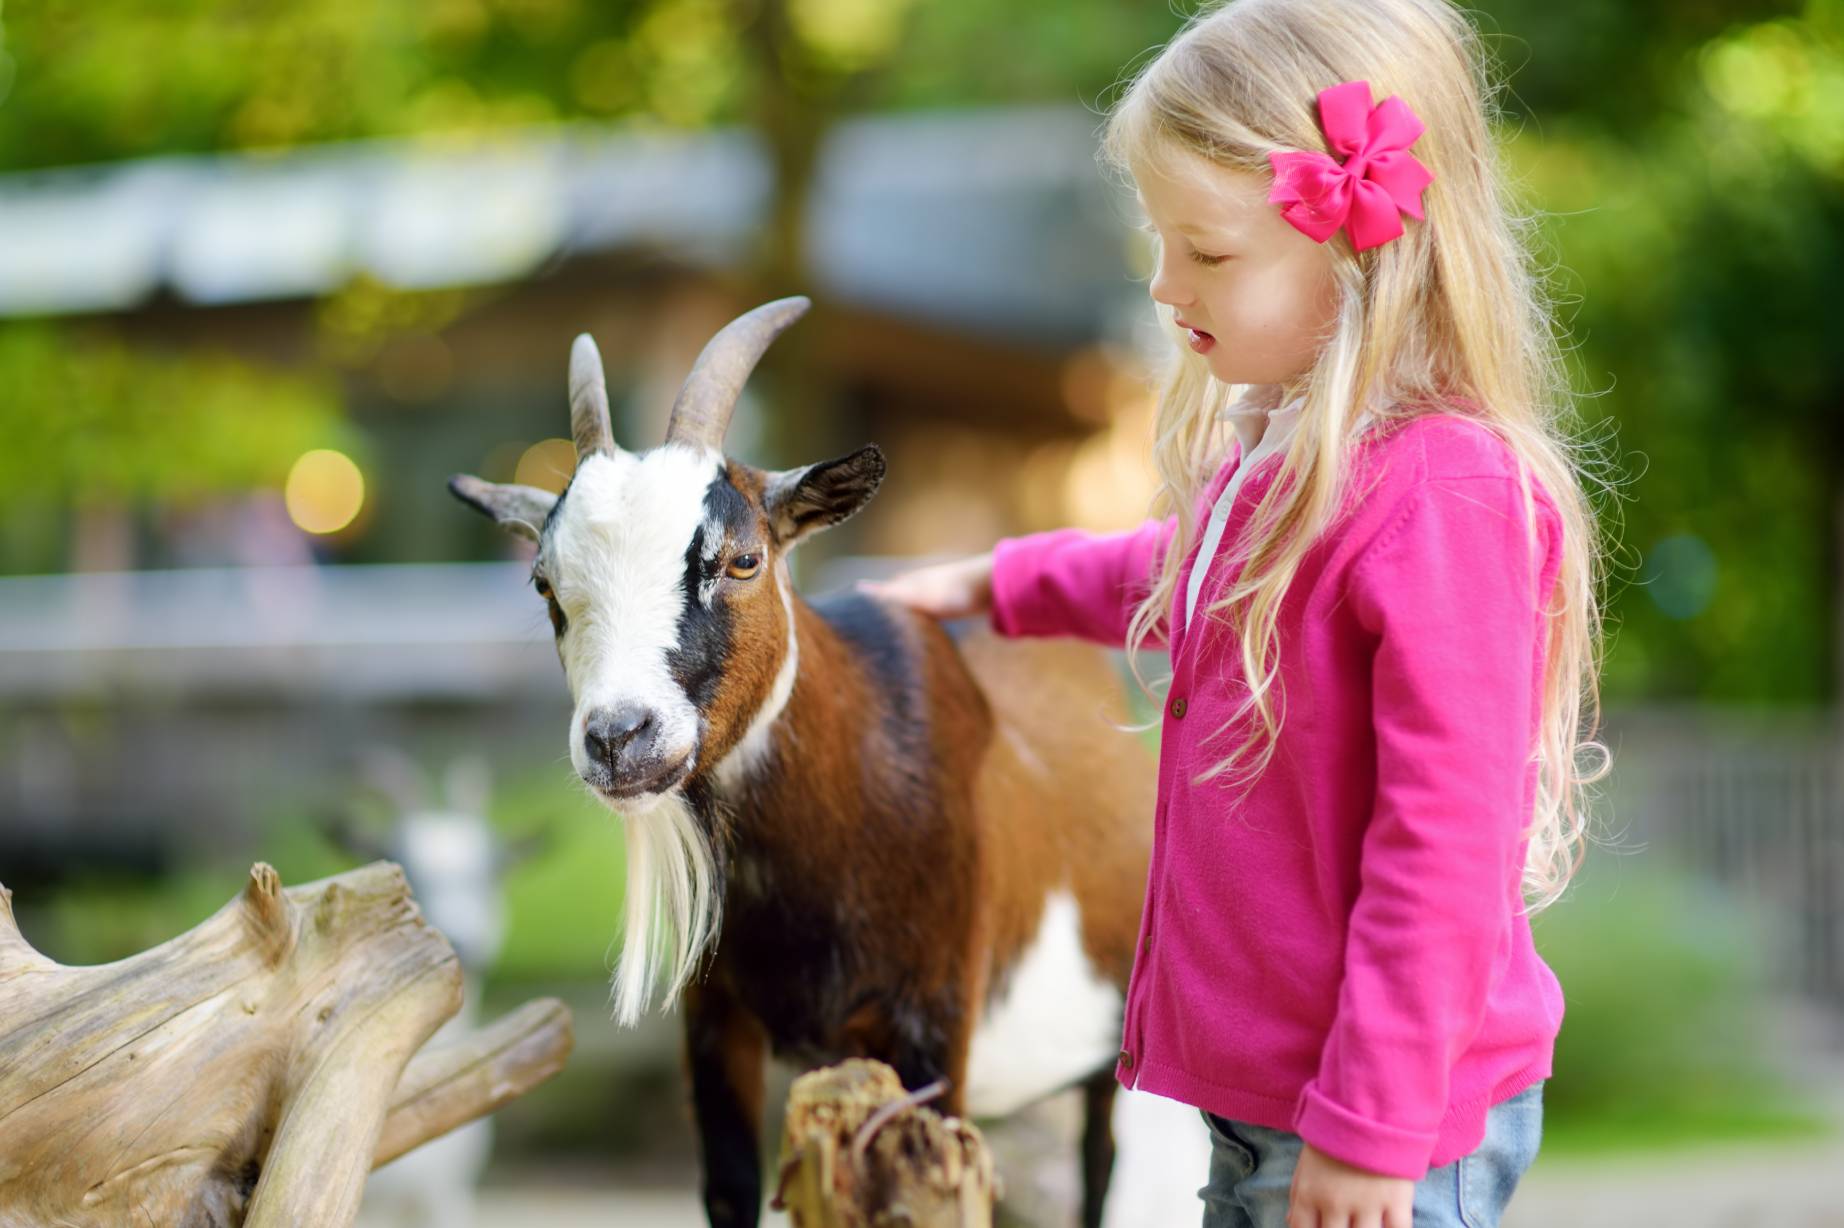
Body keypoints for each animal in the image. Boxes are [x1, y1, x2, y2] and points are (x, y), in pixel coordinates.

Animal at [449, 298, 1150, 1224]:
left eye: (744, 559)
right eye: (544, 585)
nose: (617, 737)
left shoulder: (934, 1027)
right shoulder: (716, 1023)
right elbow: (730, 1188)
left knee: (1103, 1162)